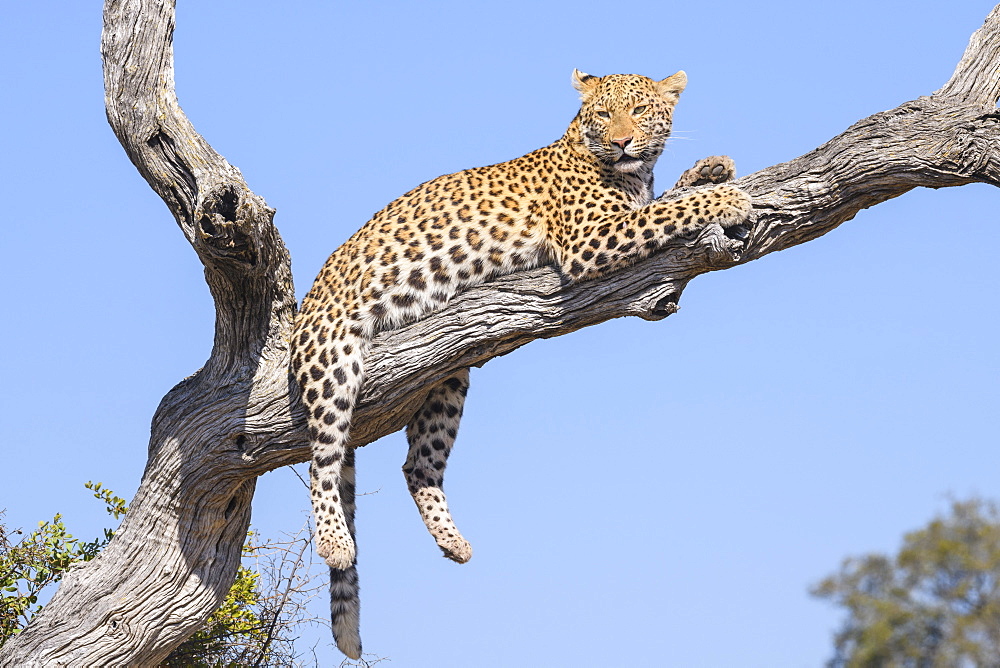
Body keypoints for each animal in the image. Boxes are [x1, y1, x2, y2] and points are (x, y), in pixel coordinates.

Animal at [292, 69, 752, 656]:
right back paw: (334, 540)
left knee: (417, 464)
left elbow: (665, 200)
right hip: (333, 355)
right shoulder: (592, 238)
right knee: (322, 460)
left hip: (448, 373)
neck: (625, 170)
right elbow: (667, 211)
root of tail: (304, 313)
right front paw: (727, 196)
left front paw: (710, 170)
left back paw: (455, 543)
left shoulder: (624, 213)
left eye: (641, 111)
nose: (623, 142)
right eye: (605, 114)